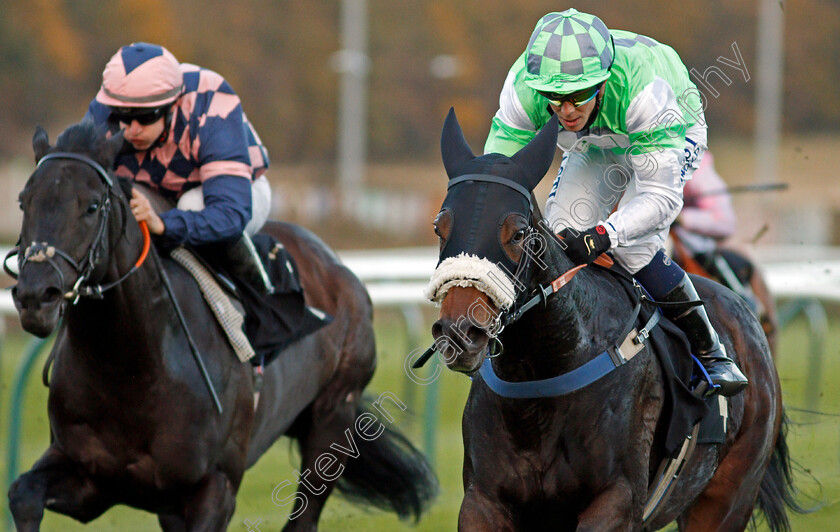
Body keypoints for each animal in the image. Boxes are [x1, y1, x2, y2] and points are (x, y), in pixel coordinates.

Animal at [6, 121, 436, 532]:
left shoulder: (214, 488)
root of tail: (336, 265)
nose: (36, 296)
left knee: (304, 517)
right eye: (24, 201)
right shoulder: (93, 479)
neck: (133, 369)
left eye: (92, 206)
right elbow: (22, 494)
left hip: (333, 419)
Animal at [426, 109, 796, 532]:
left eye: (518, 233)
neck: (541, 379)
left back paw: (720, 367)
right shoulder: (482, 500)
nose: (459, 332)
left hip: (727, 497)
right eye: (440, 226)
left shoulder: (617, 499)